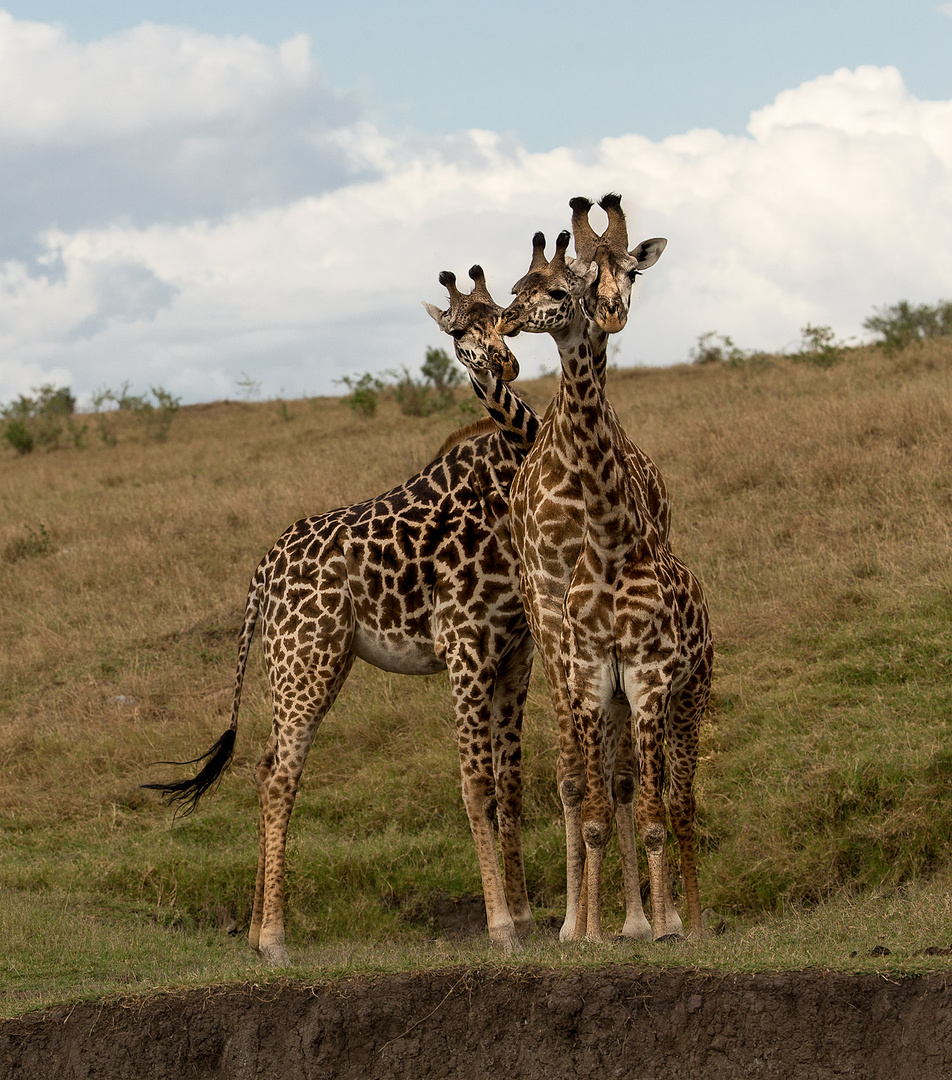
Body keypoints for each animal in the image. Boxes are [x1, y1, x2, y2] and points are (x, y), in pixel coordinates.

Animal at [144, 274, 538, 967]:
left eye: (502, 317)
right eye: (457, 331)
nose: (502, 363)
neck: (503, 476)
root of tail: (262, 575)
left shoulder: (515, 656)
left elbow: (510, 782)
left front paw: (524, 915)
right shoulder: (465, 650)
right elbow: (476, 784)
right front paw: (500, 927)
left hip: (304, 664)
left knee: (264, 765)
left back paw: (256, 931)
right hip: (309, 661)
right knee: (280, 773)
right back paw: (275, 940)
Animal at [497, 198, 713, 941]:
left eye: (631, 271)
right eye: (520, 287)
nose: (611, 311)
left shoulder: (643, 675)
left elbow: (637, 803)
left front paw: (650, 922)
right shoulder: (574, 646)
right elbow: (580, 791)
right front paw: (582, 926)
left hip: (680, 694)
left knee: (665, 794)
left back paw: (672, 918)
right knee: (592, 779)